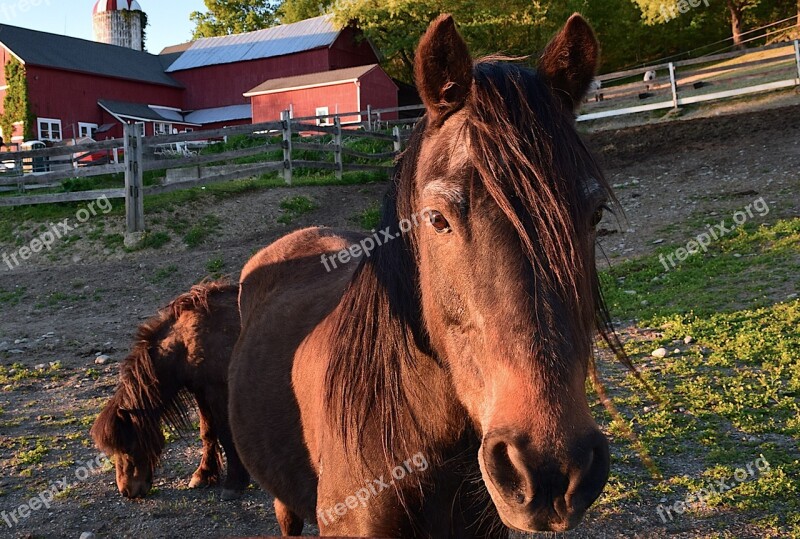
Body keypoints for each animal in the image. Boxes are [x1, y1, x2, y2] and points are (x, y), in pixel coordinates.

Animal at [89, 280, 248, 500]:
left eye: (128, 446)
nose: (126, 491)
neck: (185, 344)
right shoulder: (200, 392)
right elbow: (207, 432)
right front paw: (203, 474)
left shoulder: (218, 391)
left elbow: (225, 434)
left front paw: (234, 483)